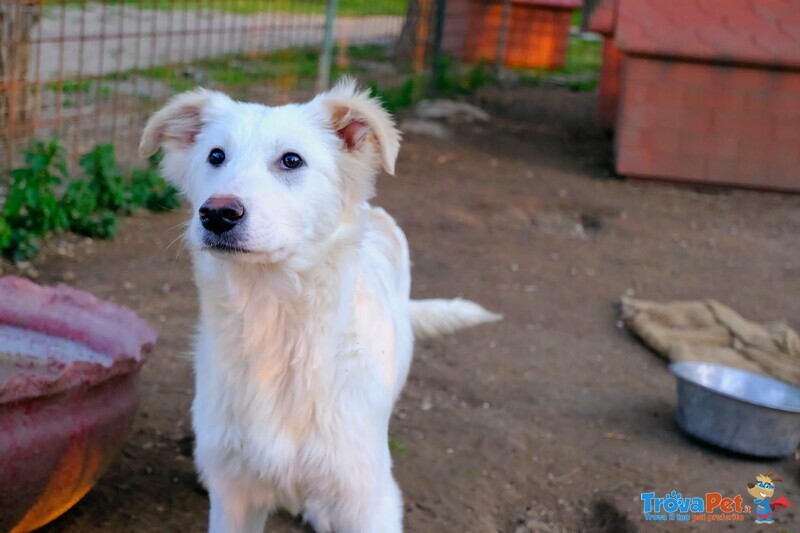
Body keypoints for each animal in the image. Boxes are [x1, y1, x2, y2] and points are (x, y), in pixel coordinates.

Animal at [141, 79, 496, 532]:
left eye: (292, 160)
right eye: (215, 156)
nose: (216, 214)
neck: (274, 325)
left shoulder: (369, 499)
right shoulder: (235, 497)